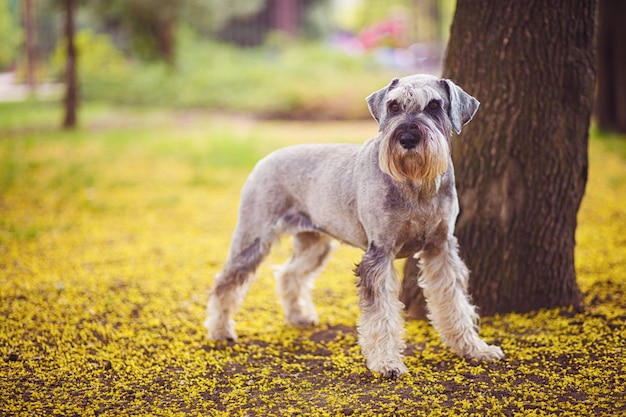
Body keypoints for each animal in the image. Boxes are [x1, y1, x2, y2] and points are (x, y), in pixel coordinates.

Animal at [205, 75, 502, 376]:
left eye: (433, 105)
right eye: (393, 106)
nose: (407, 138)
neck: (416, 185)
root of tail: (265, 159)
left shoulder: (440, 249)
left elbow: (455, 302)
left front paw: (473, 348)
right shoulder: (379, 254)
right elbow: (381, 314)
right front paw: (386, 362)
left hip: (315, 244)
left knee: (290, 274)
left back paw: (298, 316)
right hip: (253, 239)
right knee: (225, 282)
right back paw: (220, 329)